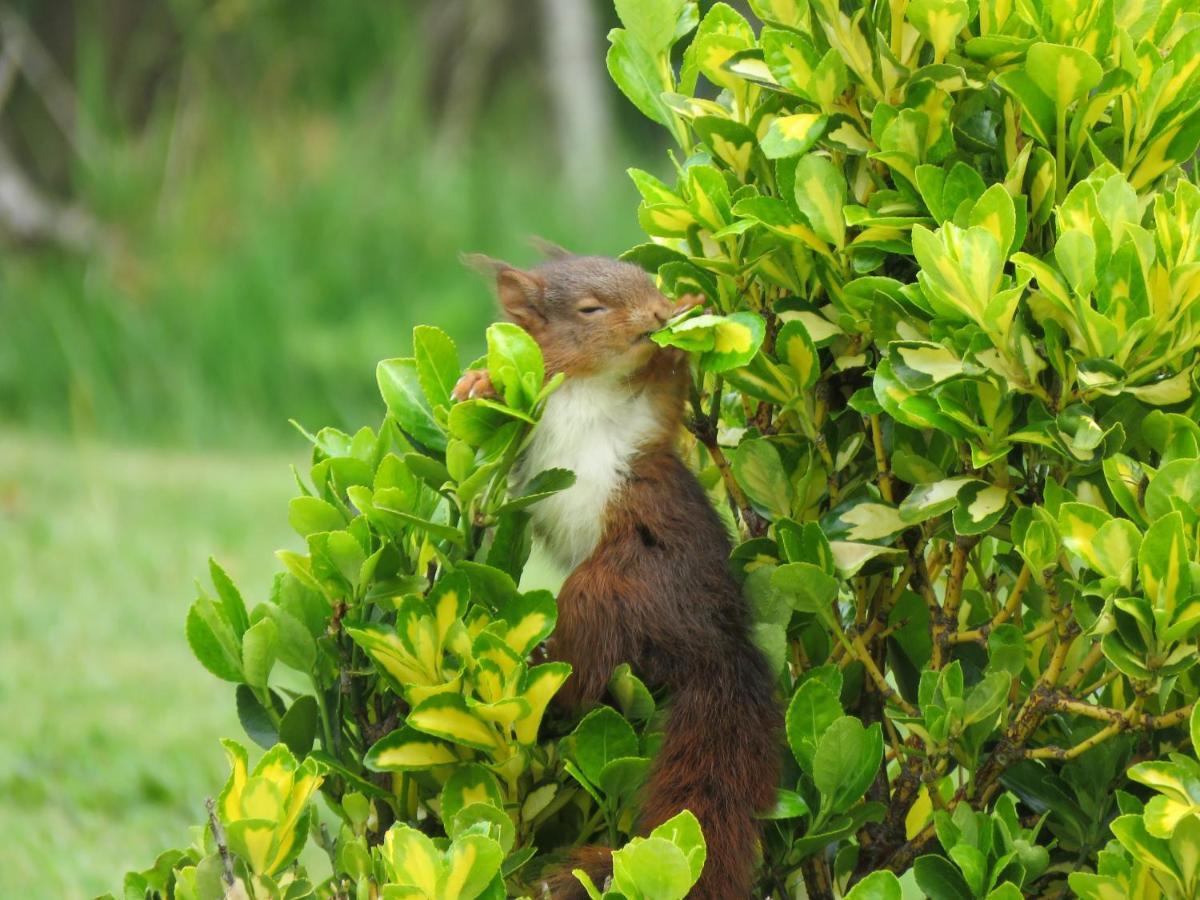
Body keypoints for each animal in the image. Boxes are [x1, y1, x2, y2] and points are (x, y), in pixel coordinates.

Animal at [451, 252, 777, 900]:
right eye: (590, 309)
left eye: (650, 284)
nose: (656, 314)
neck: (586, 385)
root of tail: (717, 641)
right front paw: (478, 384)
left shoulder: (641, 423)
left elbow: (667, 389)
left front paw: (690, 312)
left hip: (623, 582)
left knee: (587, 663)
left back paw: (548, 679)